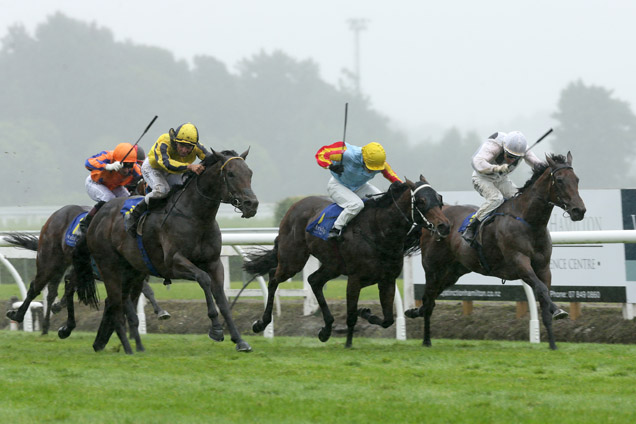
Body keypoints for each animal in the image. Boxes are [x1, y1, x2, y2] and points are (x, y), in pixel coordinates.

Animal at [75, 149, 260, 354]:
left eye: (250, 173)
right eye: (231, 174)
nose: (252, 204)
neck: (196, 216)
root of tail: (96, 218)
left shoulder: (214, 263)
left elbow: (222, 299)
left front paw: (239, 340)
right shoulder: (173, 263)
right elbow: (203, 279)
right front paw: (216, 329)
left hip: (131, 272)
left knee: (115, 303)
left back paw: (108, 343)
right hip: (109, 267)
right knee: (115, 305)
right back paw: (128, 349)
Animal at [243, 176, 452, 348]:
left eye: (439, 199)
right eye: (421, 201)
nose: (444, 226)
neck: (380, 231)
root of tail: (294, 206)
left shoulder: (387, 280)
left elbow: (387, 319)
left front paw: (366, 313)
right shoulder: (355, 279)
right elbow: (351, 315)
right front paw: (348, 342)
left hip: (332, 265)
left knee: (314, 281)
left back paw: (326, 329)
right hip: (293, 259)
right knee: (273, 278)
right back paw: (261, 323)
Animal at [404, 154, 588, 350]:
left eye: (577, 179)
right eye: (559, 180)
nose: (579, 210)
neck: (530, 222)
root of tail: (437, 217)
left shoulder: (544, 268)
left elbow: (544, 296)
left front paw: (553, 344)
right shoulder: (520, 263)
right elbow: (541, 290)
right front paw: (559, 311)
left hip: (454, 272)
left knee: (430, 299)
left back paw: (415, 312)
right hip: (433, 268)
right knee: (428, 298)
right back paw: (426, 339)